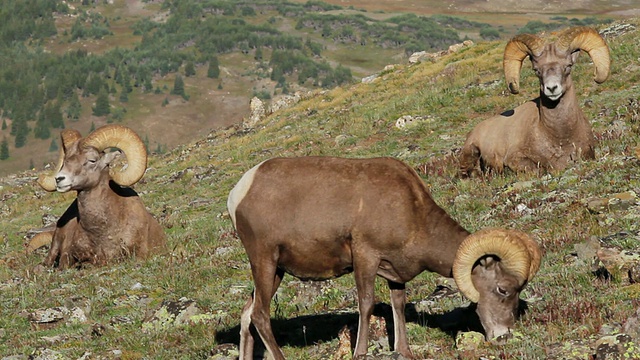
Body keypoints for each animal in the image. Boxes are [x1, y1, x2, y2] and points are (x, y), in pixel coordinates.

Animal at [228, 157, 544, 360]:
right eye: (503, 289)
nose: (504, 335)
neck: (411, 210)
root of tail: (239, 193)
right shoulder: (365, 257)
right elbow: (366, 304)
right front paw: (360, 352)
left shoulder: (395, 274)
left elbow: (398, 306)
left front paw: (404, 351)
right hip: (265, 261)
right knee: (259, 315)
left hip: (275, 271)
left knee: (247, 313)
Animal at [460, 26, 608, 176]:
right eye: (537, 70)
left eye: (568, 66)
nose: (552, 88)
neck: (560, 138)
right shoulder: (515, 158)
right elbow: (540, 169)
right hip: (471, 152)